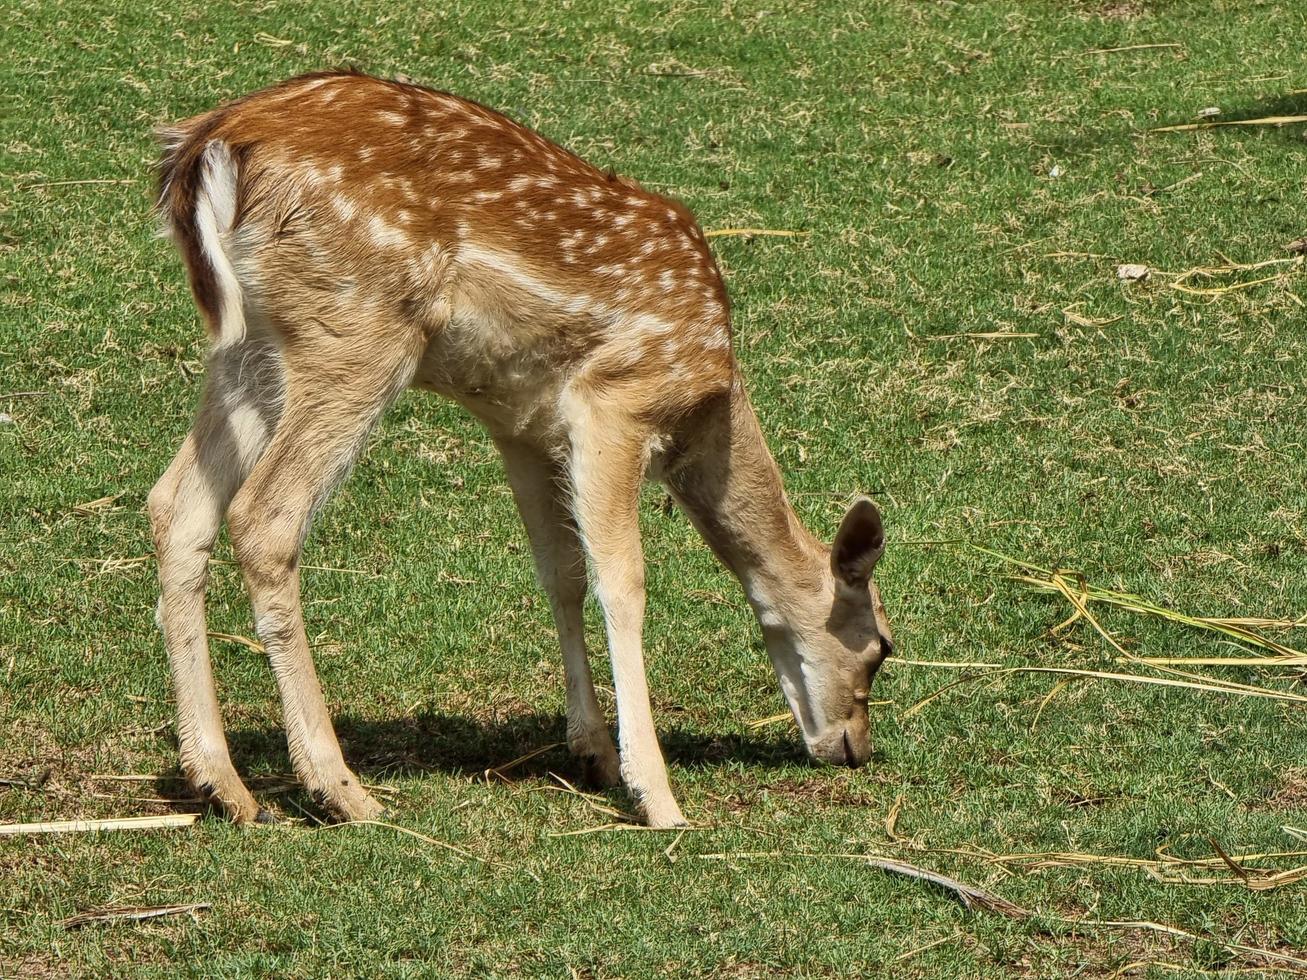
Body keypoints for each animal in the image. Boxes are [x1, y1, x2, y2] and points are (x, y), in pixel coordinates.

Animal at [148, 72, 893, 831]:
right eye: (880, 650)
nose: (854, 747)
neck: (710, 404)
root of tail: (210, 148)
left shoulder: (522, 427)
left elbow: (561, 573)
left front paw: (592, 751)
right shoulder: (614, 402)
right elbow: (622, 582)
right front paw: (655, 794)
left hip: (247, 347)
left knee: (176, 504)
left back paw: (221, 783)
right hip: (354, 329)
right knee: (265, 516)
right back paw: (339, 787)